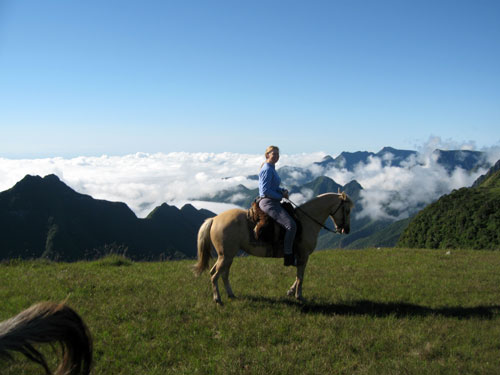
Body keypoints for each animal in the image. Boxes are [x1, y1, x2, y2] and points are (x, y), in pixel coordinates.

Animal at [193, 192, 354, 304]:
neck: (306, 221)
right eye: (347, 210)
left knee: (222, 274)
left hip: (227, 256)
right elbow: (300, 276)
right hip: (226, 256)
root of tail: (214, 219)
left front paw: (290, 292)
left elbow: (299, 275)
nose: (346, 230)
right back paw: (217, 299)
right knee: (215, 275)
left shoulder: (301, 256)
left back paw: (230, 294)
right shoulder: (303, 255)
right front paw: (299, 296)